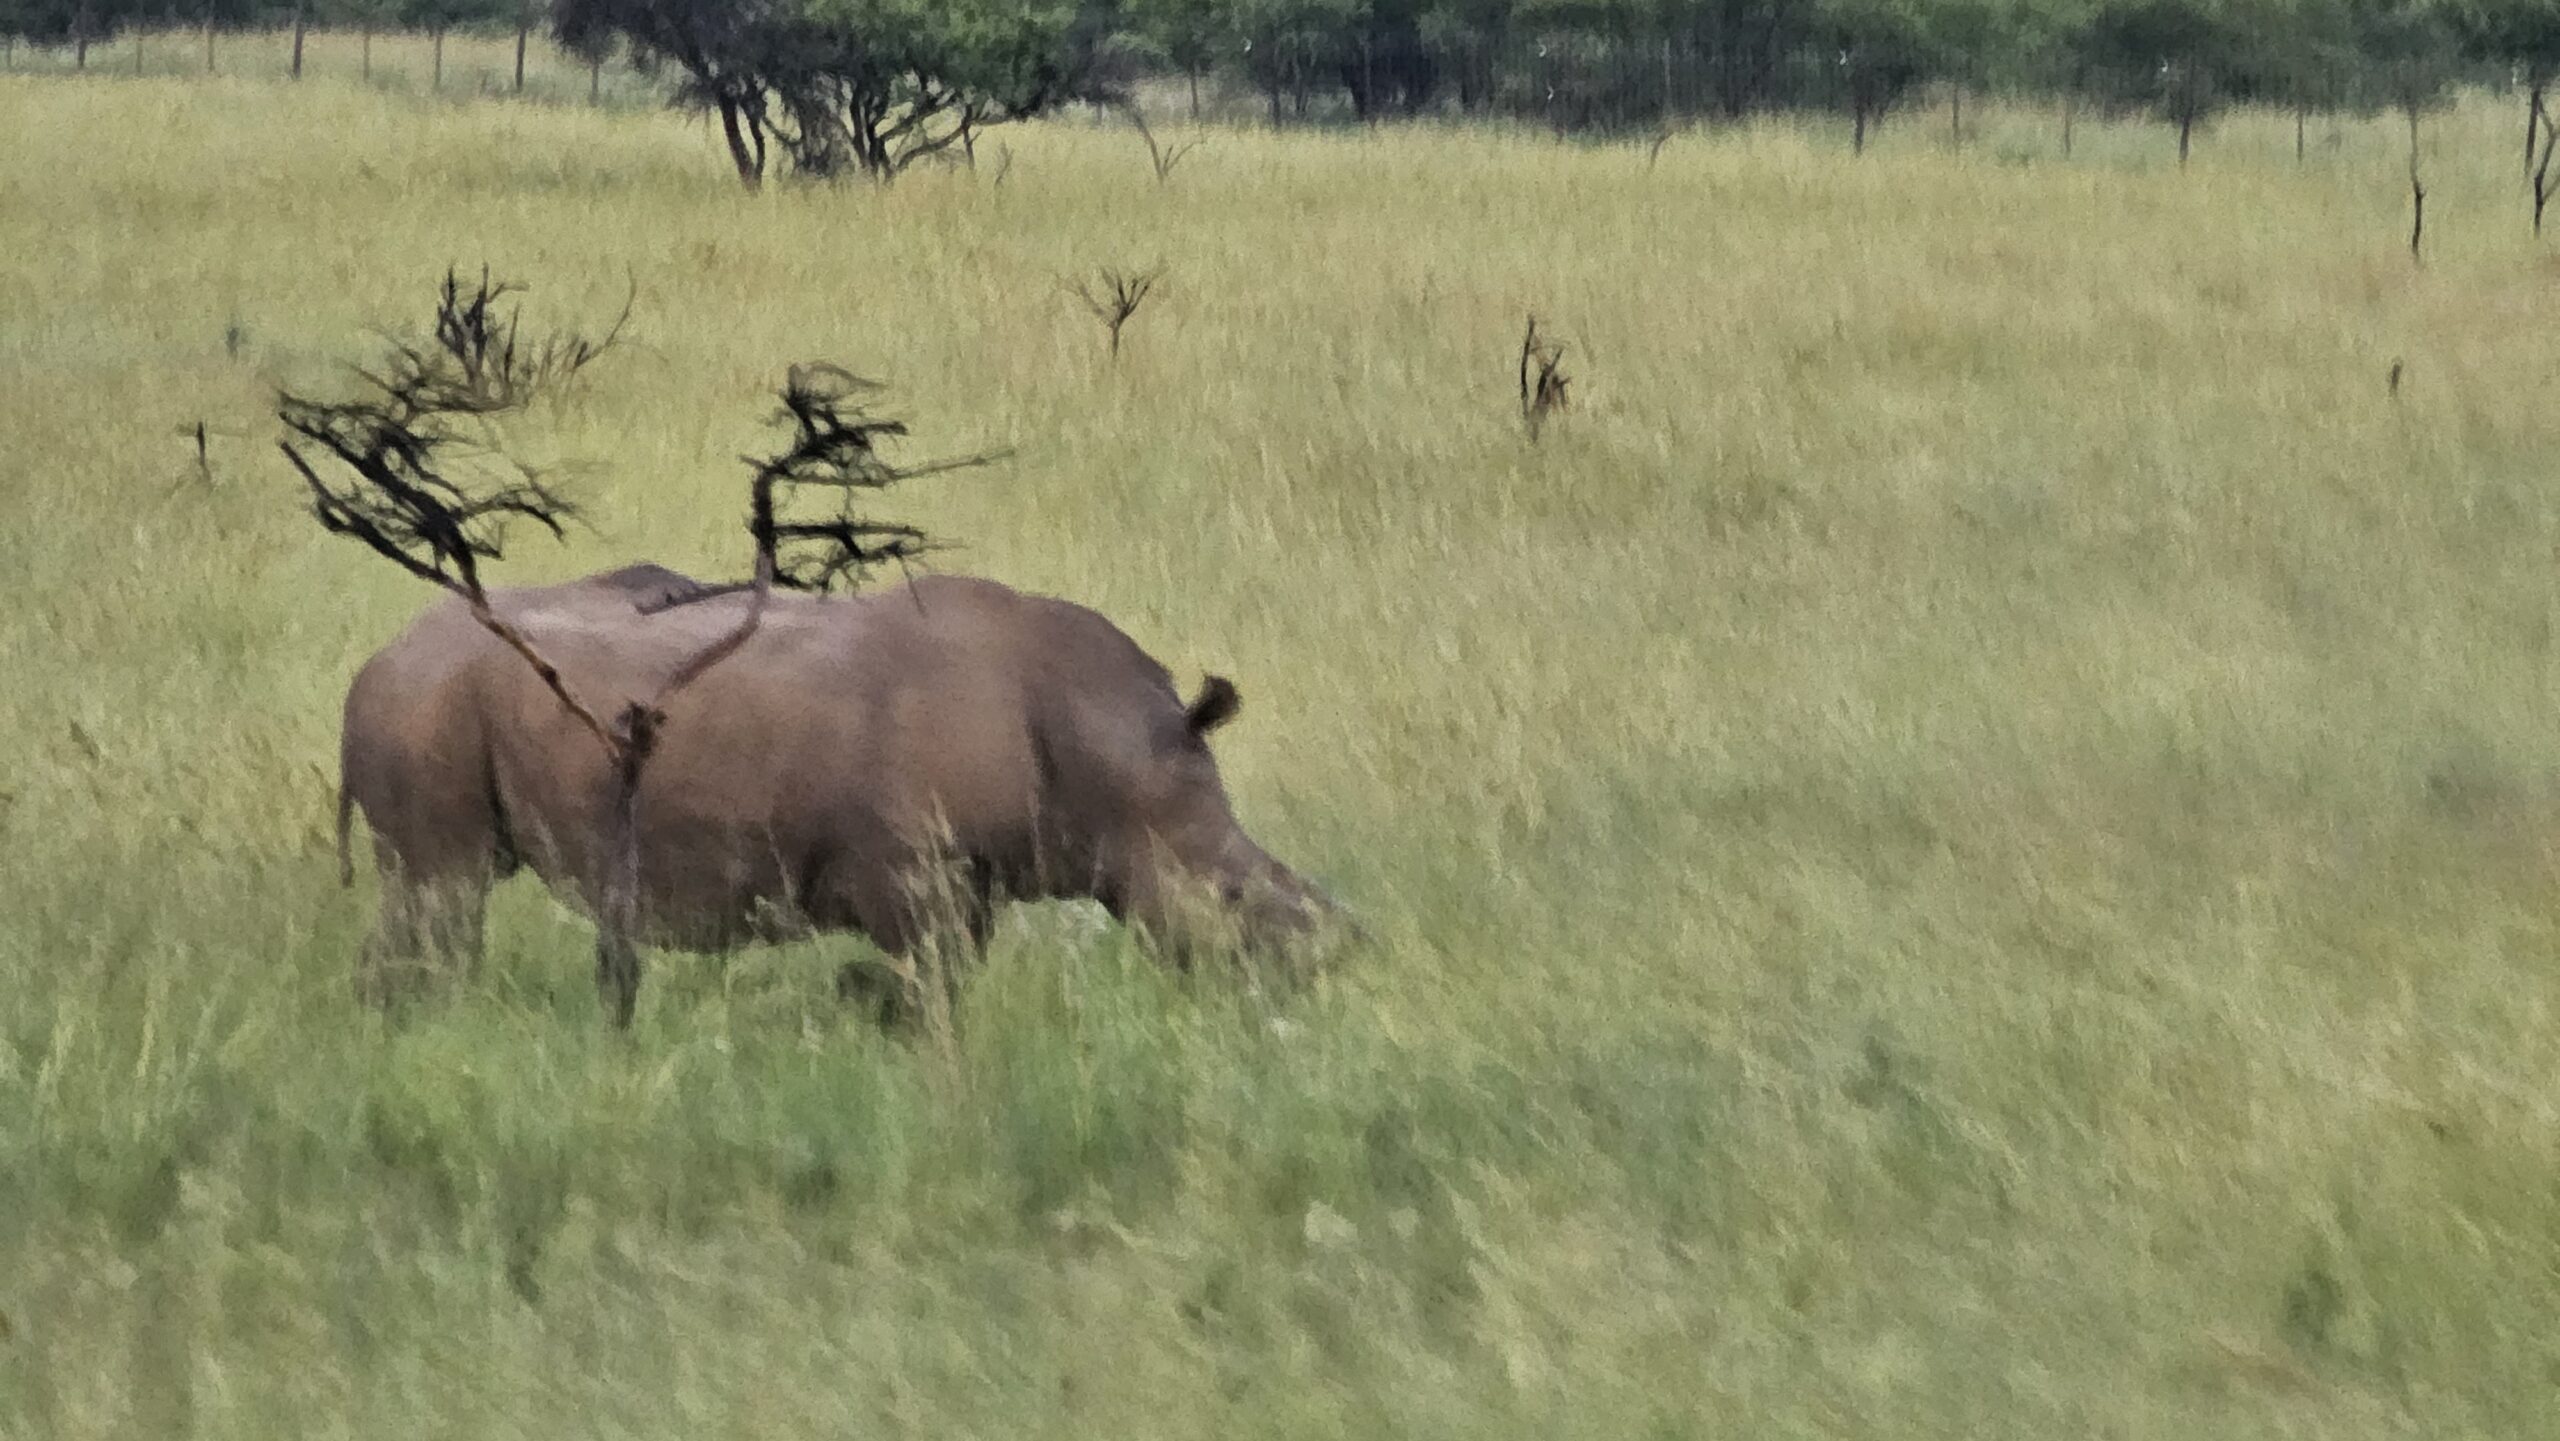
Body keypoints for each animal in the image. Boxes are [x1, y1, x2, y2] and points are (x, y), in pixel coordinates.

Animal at [335, 563, 1341, 1022]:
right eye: (1232, 898)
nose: (1323, 969)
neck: (1120, 762)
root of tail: (371, 664)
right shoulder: (912, 877)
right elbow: (930, 994)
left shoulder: (963, 879)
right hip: (427, 704)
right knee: (444, 888)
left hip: (438, 698)